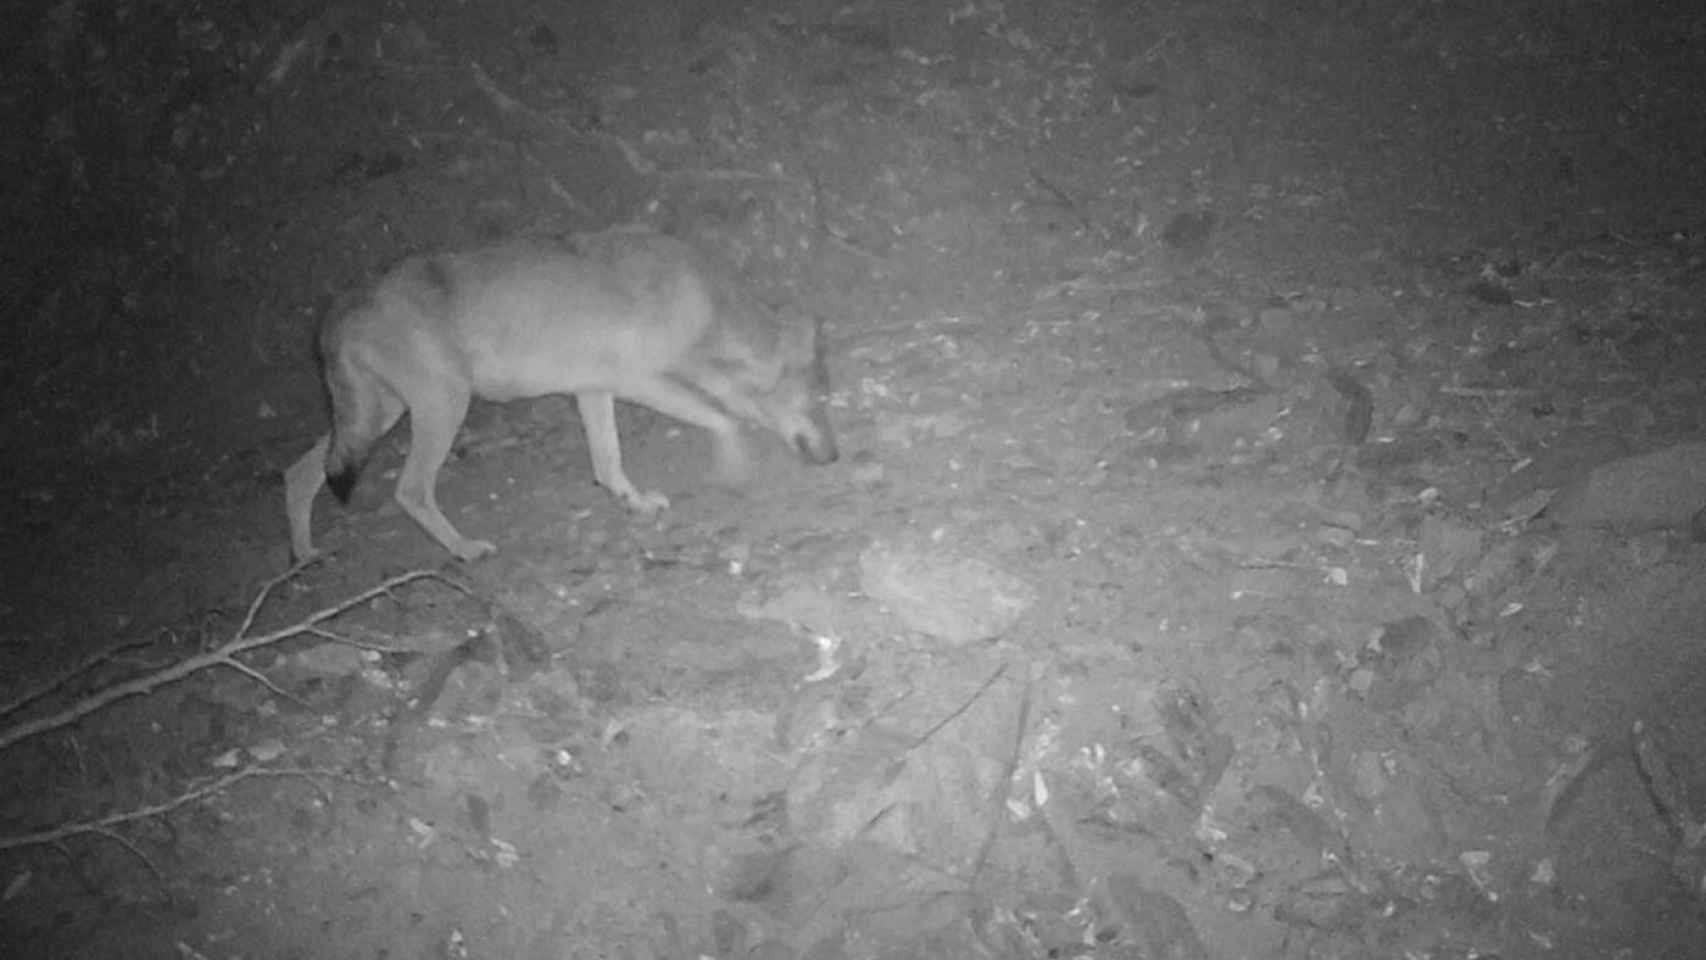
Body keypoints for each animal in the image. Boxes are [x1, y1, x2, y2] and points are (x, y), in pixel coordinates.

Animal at [283, 230, 835, 562]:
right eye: (820, 401)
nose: (834, 456)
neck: (707, 303)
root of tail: (337, 310)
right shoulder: (640, 381)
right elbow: (725, 420)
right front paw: (736, 469)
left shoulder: (593, 388)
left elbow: (608, 465)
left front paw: (635, 503)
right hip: (440, 407)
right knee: (410, 490)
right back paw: (466, 549)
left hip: (379, 414)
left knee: (299, 473)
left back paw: (305, 555)